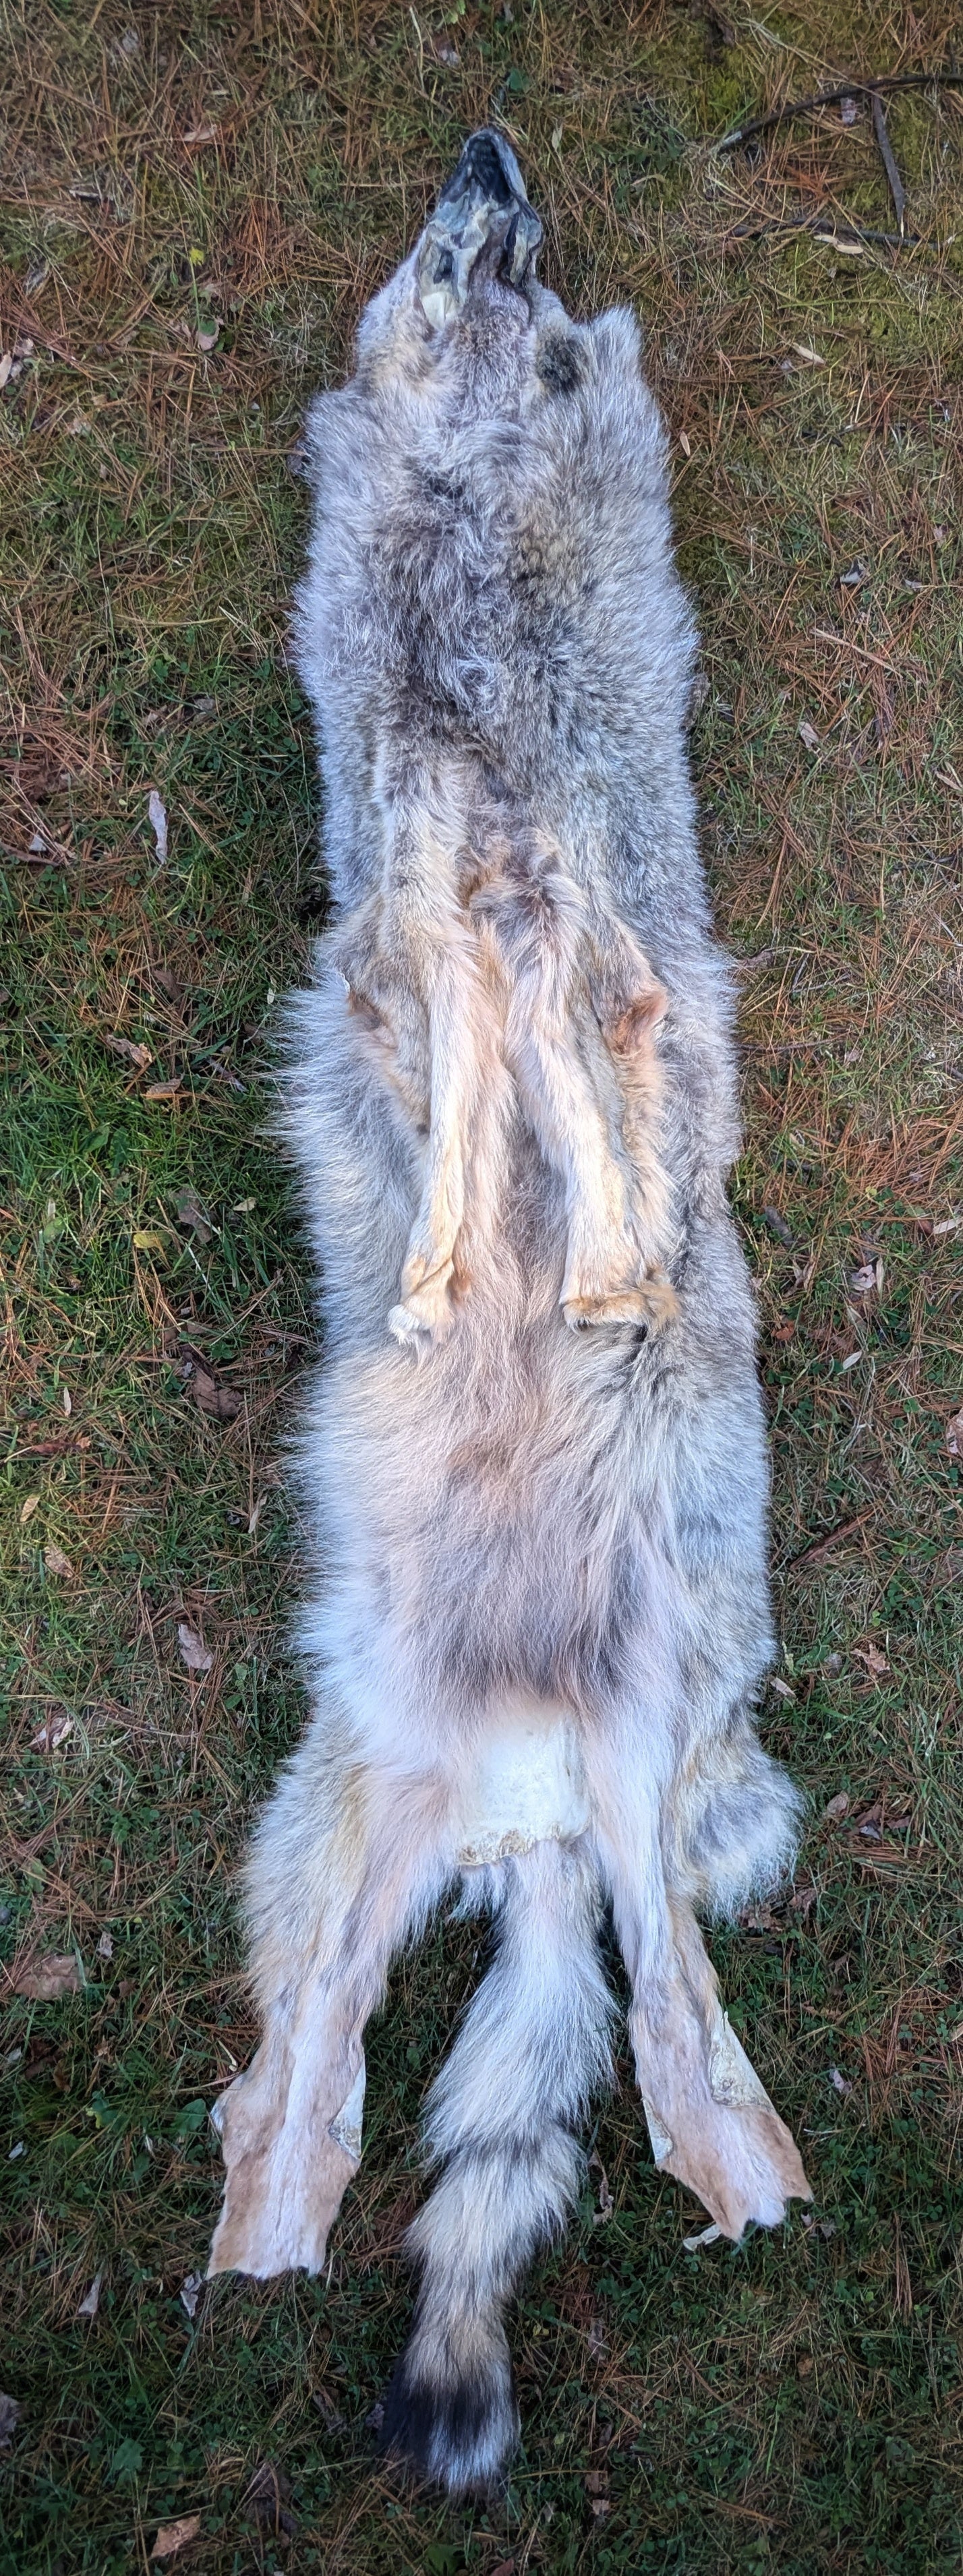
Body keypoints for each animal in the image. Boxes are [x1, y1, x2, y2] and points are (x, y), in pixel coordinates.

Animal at [207, 129, 809, 2495]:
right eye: (456, 254)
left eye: (533, 277)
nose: (493, 149)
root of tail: (534, 1806)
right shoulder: (411, 922)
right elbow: (460, 1076)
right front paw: (458, 1261)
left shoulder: (575, 915)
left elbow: (575, 1060)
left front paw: (601, 1262)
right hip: (354, 1810)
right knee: (323, 2050)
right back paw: (272, 2215)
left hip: (660, 1748)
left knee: (670, 2020)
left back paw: (739, 2161)